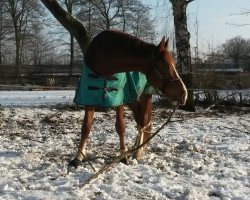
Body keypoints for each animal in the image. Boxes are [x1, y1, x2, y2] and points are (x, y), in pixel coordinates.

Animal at [69, 29, 188, 167]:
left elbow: (121, 127)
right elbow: (86, 127)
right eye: (165, 65)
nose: (184, 94)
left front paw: (123, 155)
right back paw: (137, 147)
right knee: (140, 119)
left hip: (145, 95)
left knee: (144, 120)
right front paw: (78, 157)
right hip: (132, 99)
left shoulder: (119, 100)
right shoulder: (89, 99)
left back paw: (138, 151)